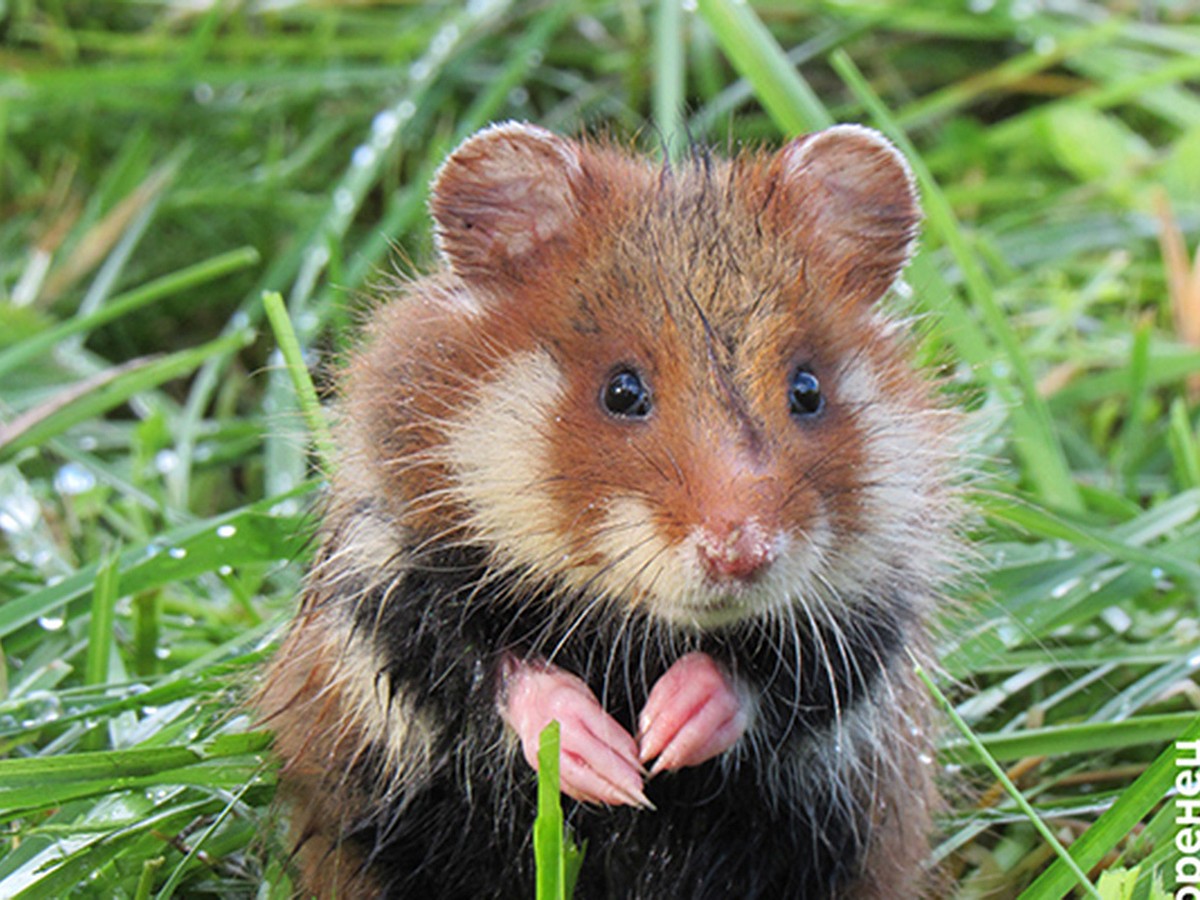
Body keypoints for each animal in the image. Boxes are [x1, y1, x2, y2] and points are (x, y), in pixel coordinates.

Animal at [258, 121, 960, 900]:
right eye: (621, 391)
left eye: (807, 390)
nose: (740, 555)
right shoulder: (387, 573)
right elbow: (484, 666)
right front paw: (614, 768)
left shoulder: (870, 610)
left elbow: (780, 677)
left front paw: (663, 737)